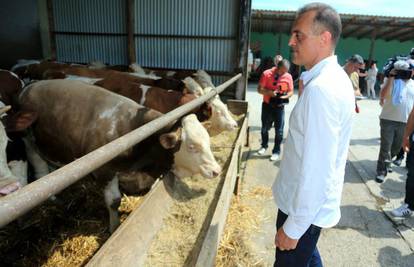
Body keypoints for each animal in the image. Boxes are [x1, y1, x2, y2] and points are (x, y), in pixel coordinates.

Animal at [18, 79, 223, 232]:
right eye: (192, 146)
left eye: (207, 140)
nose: (217, 170)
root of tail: (29, 86)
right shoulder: (105, 171)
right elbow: (114, 201)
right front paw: (114, 227)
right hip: (29, 143)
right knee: (41, 171)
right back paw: (54, 199)